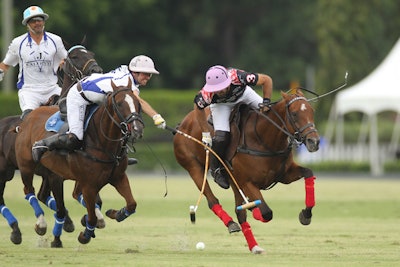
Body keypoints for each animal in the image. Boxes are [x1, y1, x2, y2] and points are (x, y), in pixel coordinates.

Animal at [15, 82, 144, 247]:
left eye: (138, 103)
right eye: (120, 104)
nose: (137, 129)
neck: (103, 142)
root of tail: (29, 116)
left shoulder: (118, 177)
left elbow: (131, 204)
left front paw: (116, 214)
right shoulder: (89, 185)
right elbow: (92, 217)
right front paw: (85, 235)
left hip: (52, 173)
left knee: (48, 197)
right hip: (26, 166)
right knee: (29, 191)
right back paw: (41, 224)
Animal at [173, 89, 320, 254]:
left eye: (312, 111)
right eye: (294, 114)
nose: (314, 142)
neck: (264, 139)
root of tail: (182, 124)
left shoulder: (284, 175)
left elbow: (308, 173)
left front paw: (306, 215)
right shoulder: (247, 182)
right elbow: (266, 212)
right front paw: (255, 210)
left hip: (233, 180)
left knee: (239, 212)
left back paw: (254, 245)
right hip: (194, 168)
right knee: (213, 200)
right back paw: (232, 222)